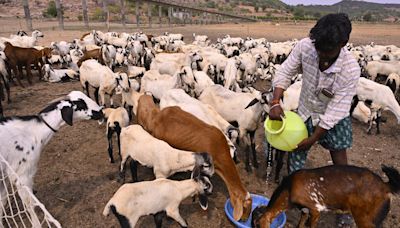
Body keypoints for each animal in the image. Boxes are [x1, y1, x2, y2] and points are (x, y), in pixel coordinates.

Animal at [253, 165, 400, 228]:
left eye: (256, 225)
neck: (288, 189)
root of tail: (385, 186)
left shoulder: (315, 209)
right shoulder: (305, 211)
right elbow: (300, 225)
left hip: (364, 218)